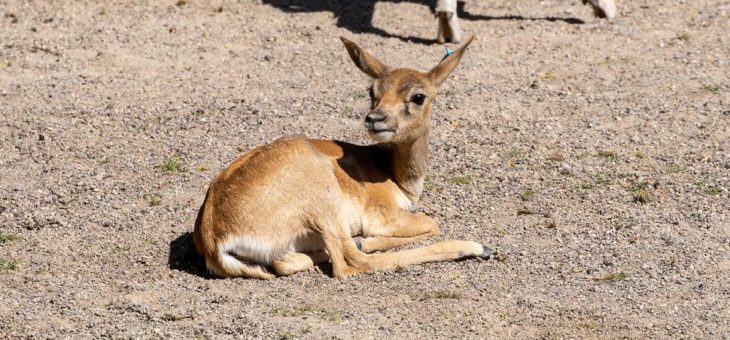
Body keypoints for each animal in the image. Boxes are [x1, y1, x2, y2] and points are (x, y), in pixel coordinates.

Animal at [191, 35, 492, 278]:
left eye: (418, 96)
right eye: (372, 91)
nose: (375, 118)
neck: (393, 174)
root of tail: (214, 239)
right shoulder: (384, 216)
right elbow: (432, 223)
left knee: (287, 262)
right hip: (324, 204)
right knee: (351, 262)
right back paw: (477, 247)